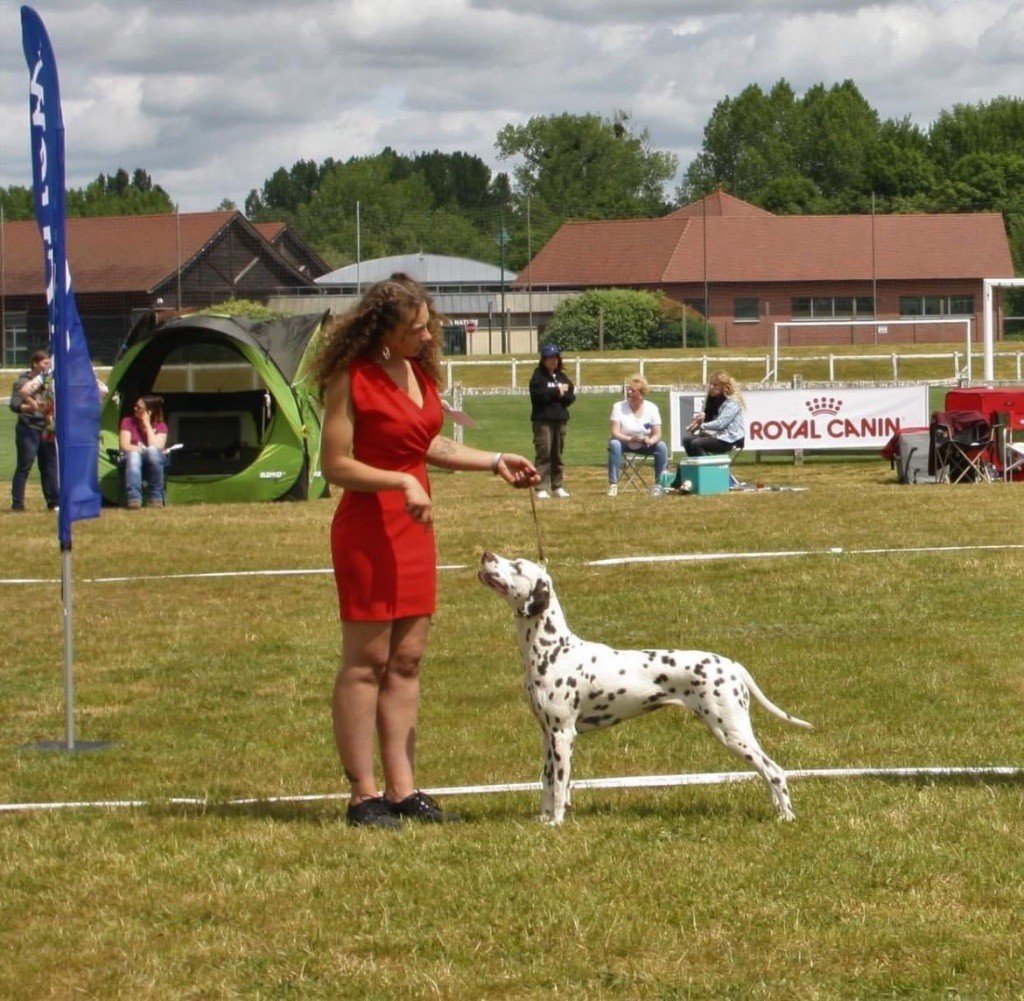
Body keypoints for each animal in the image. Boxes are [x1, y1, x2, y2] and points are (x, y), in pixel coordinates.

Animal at [475, 548, 811, 822]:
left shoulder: (563, 733)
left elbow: (559, 785)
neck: (553, 649)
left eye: (517, 566)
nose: (486, 554)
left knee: (775, 772)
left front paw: (557, 822)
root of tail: (732, 665)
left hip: (730, 729)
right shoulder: (548, 734)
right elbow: (546, 782)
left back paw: (786, 817)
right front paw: (544, 820)